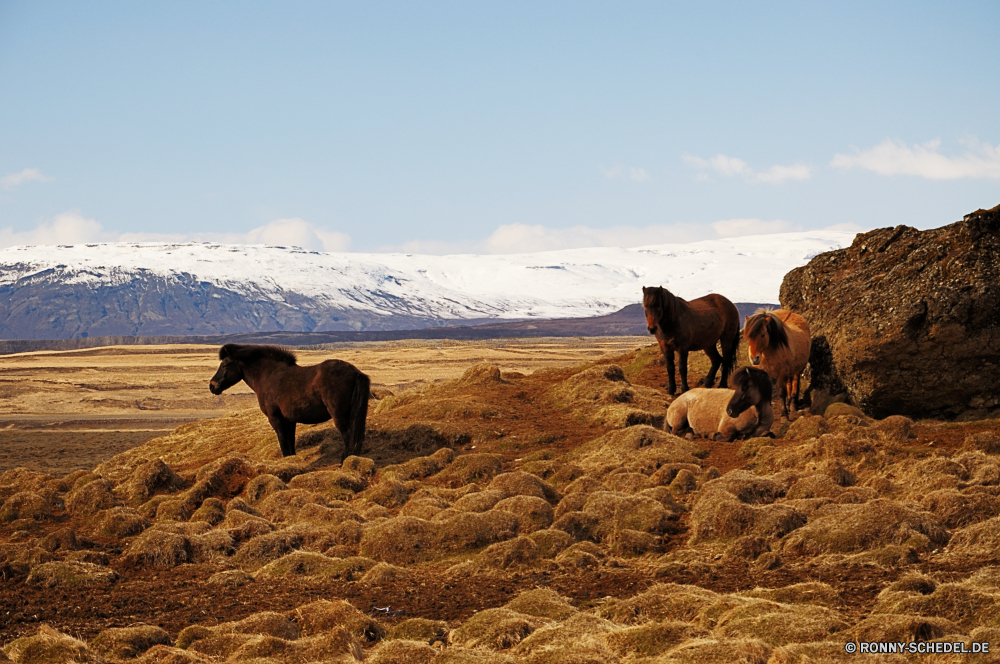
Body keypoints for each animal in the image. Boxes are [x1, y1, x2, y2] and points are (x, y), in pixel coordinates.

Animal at [208, 344, 372, 460]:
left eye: (225, 365)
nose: (212, 386)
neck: (268, 376)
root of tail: (356, 372)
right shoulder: (290, 420)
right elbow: (291, 443)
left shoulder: (276, 418)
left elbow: (284, 443)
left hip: (339, 415)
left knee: (349, 437)